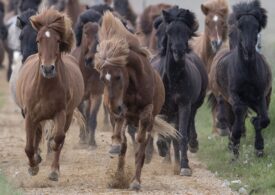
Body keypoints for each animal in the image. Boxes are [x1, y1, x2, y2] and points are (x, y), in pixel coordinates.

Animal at [15, 8, 84, 181]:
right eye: (38, 40)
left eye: (58, 41)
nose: (47, 69)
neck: (45, 87)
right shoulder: (30, 115)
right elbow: (29, 146)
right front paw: (33, 167)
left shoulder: (61, 113)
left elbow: (58, 138)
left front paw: (52, 163)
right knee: (37, 135)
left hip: (67, 115)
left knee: (59, 138)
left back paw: (53, 170)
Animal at [96, 11, 180, 190]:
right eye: (102, 78)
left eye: (118, 76)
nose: (114, 107)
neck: (134, 84)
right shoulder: (121, 109)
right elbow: (121, 138)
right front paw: (115, 148)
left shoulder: (146, 113)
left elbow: (141, 143)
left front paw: (135, 181)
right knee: (124, 141)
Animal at [154, 6, 208, 177]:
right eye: (169, 31)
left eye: (187, 31)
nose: (179, 51)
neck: (173, 79)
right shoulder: (162, 108)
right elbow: (165, 132)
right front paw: (162, 149)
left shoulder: (184, 105)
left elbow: (181, 135)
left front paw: (184, 166)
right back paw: (167, 158)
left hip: (191, 105)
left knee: (188, 124)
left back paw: (189, 148)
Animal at [210, 0, 272, 158]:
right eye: (240, 26)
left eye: (256, 27)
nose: (248, 49)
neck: (247, 70)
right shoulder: (234, 96)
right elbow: (237, 116)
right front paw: (234, 147)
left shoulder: (260, 96)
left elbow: (264, 119)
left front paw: (259, 147)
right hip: (224, 99)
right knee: (230, 118)